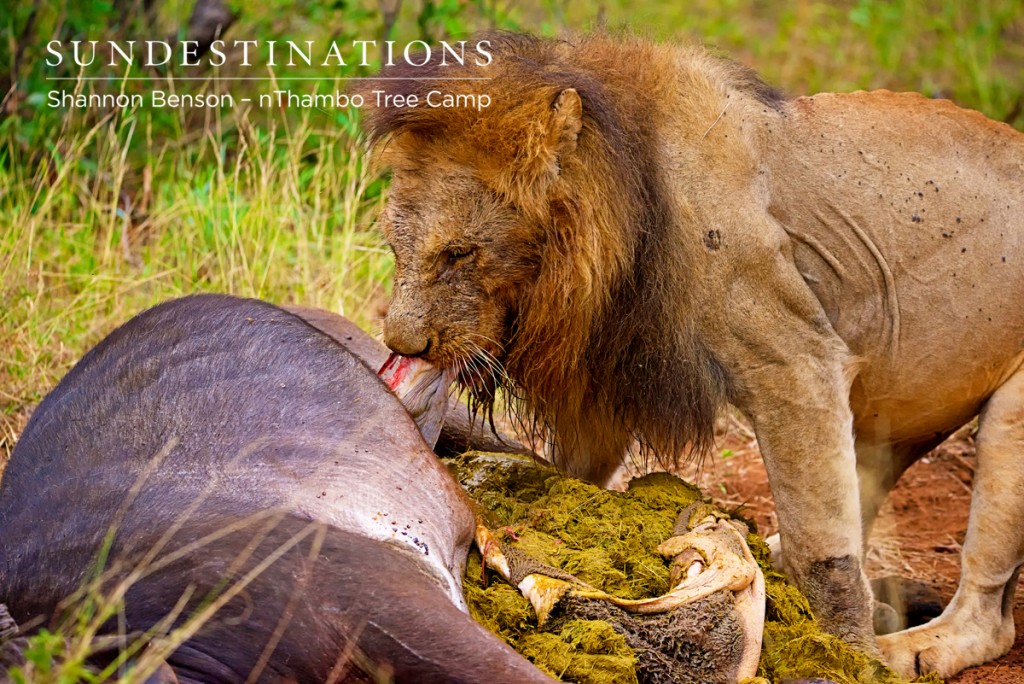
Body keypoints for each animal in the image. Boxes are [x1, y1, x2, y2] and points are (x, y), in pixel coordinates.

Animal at [362, 33, 1024, 679]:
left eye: (459, 253)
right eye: (395, 248)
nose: (402, 345)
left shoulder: (796, 364)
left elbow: (823, 553)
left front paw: (851, 656)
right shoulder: (606, 378)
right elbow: (576, 474)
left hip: (1008, 429)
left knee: (989, 612)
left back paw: (910, 650)